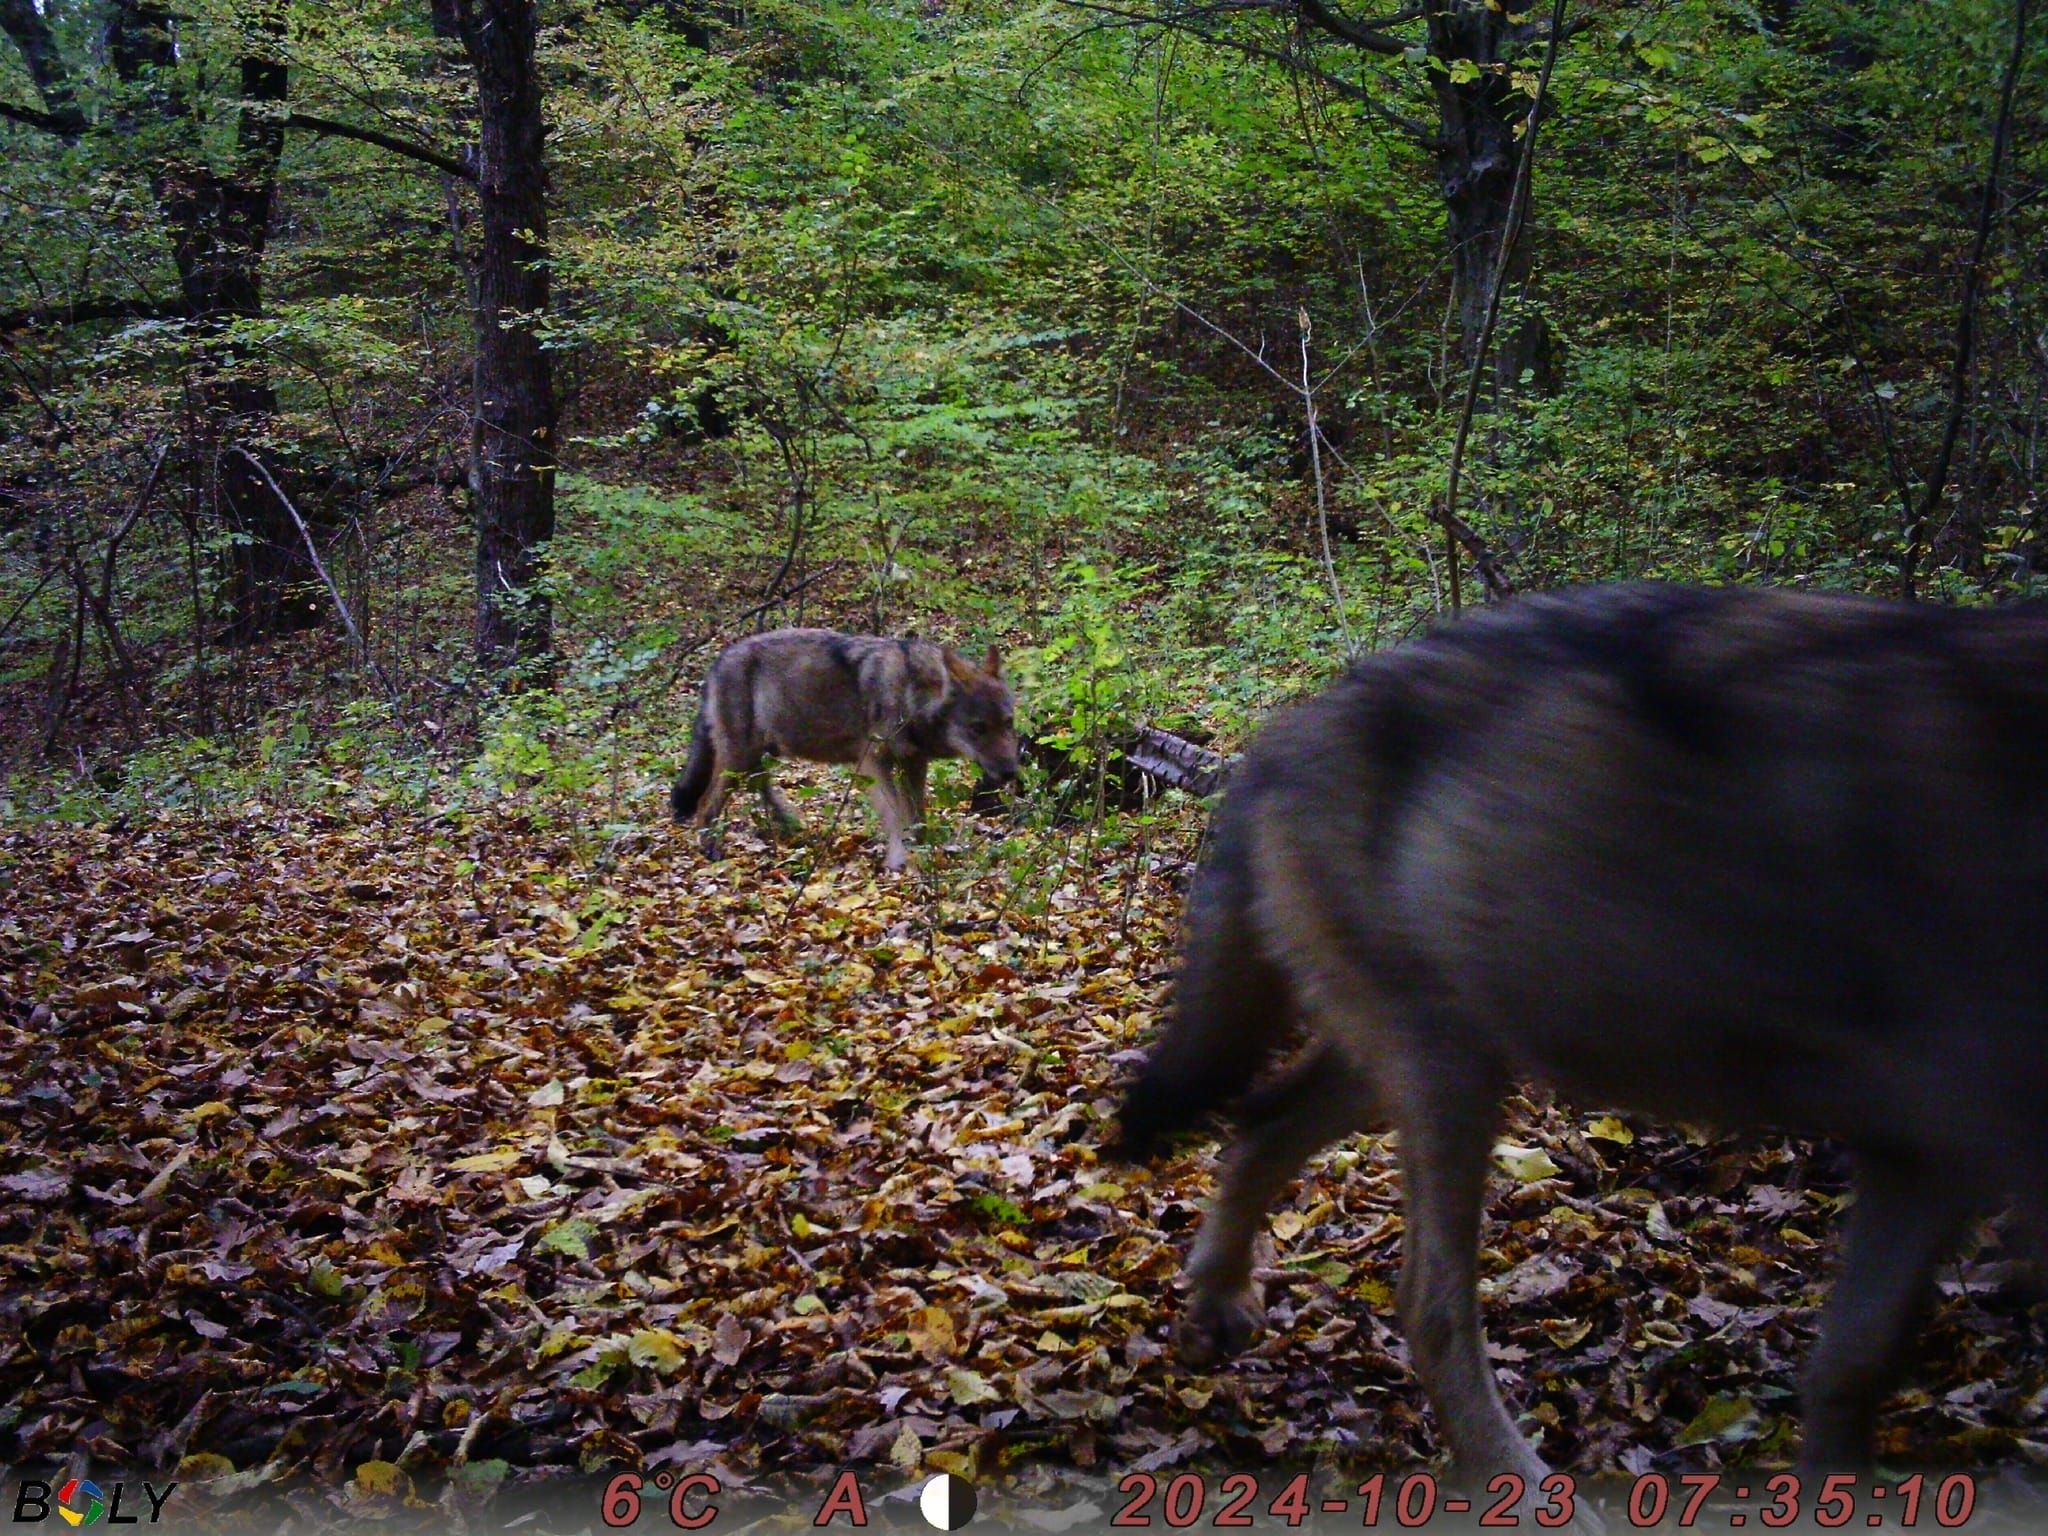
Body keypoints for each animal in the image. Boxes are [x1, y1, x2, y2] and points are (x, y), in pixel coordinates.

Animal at [671, 630, 1024, 872]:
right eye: (978, 728)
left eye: (1008, 722)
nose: (1011, 772)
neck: (910, 692)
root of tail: (717, 663)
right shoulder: (872, 763)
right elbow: (894, 815)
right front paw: (899, 861)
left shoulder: (913, 762)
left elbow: (917, 818)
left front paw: (921, 852)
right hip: (739, 757)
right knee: (707, 801)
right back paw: (711, 848)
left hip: (762, 752)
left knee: (760, 782)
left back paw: (790, 823)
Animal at [1114, 585, 2048, 1490]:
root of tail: (1280, 737)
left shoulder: (1926, 1159)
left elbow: (1853, 1363)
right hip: (1450, 1076)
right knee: (1427, 1302)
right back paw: (1519, 1486)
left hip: (1418, 1062)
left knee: (1262, 1125)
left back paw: (1218, 1306)